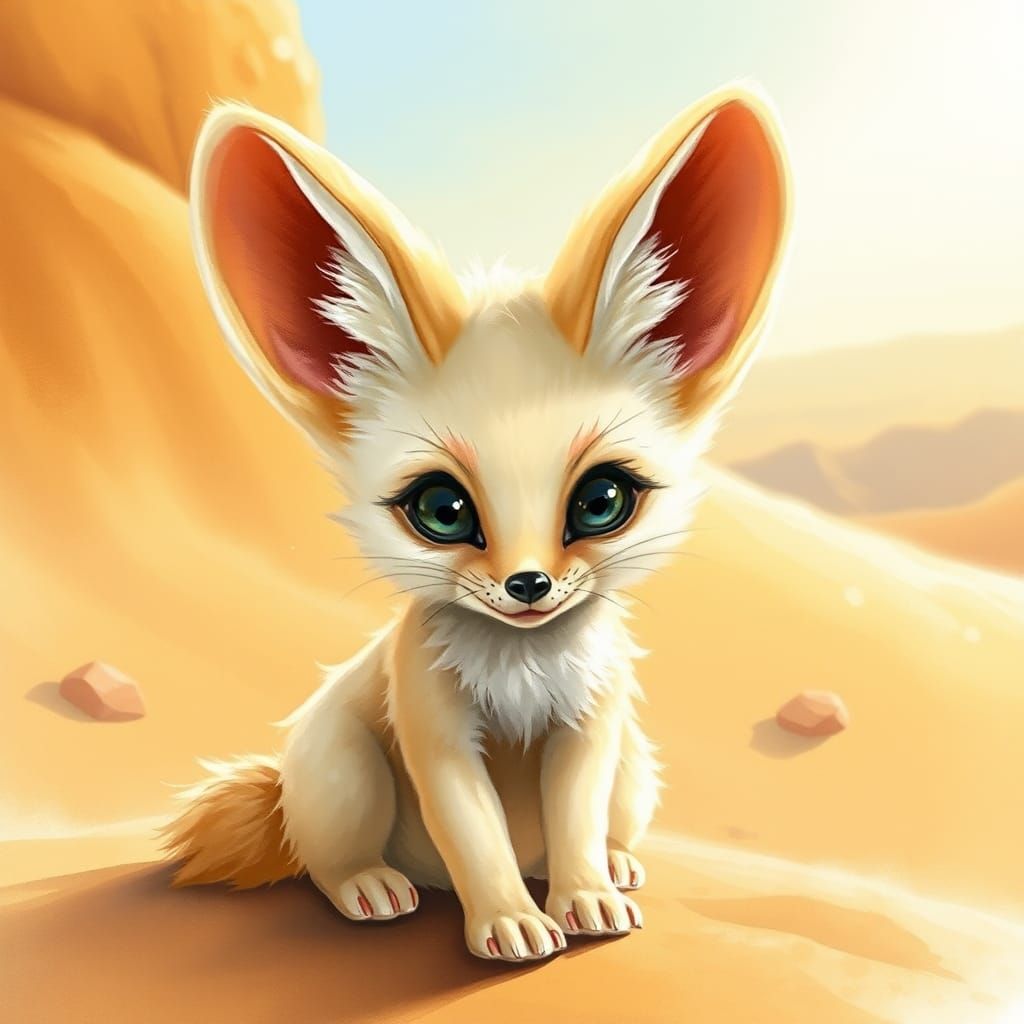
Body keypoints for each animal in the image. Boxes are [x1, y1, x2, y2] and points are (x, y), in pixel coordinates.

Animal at [162, 85, 790, 963]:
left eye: (602, 500)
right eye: (442, 510)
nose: (529, 585)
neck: (523, 668)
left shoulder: (592, 727)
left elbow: (575, 822)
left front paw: (585, 897)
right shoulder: (436, 732)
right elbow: (476, 837)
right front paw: (509, 923)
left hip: (634, 764)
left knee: (601, 826)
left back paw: (616, 864)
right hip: (344, 761)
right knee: (326, 857)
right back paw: (369, 885)